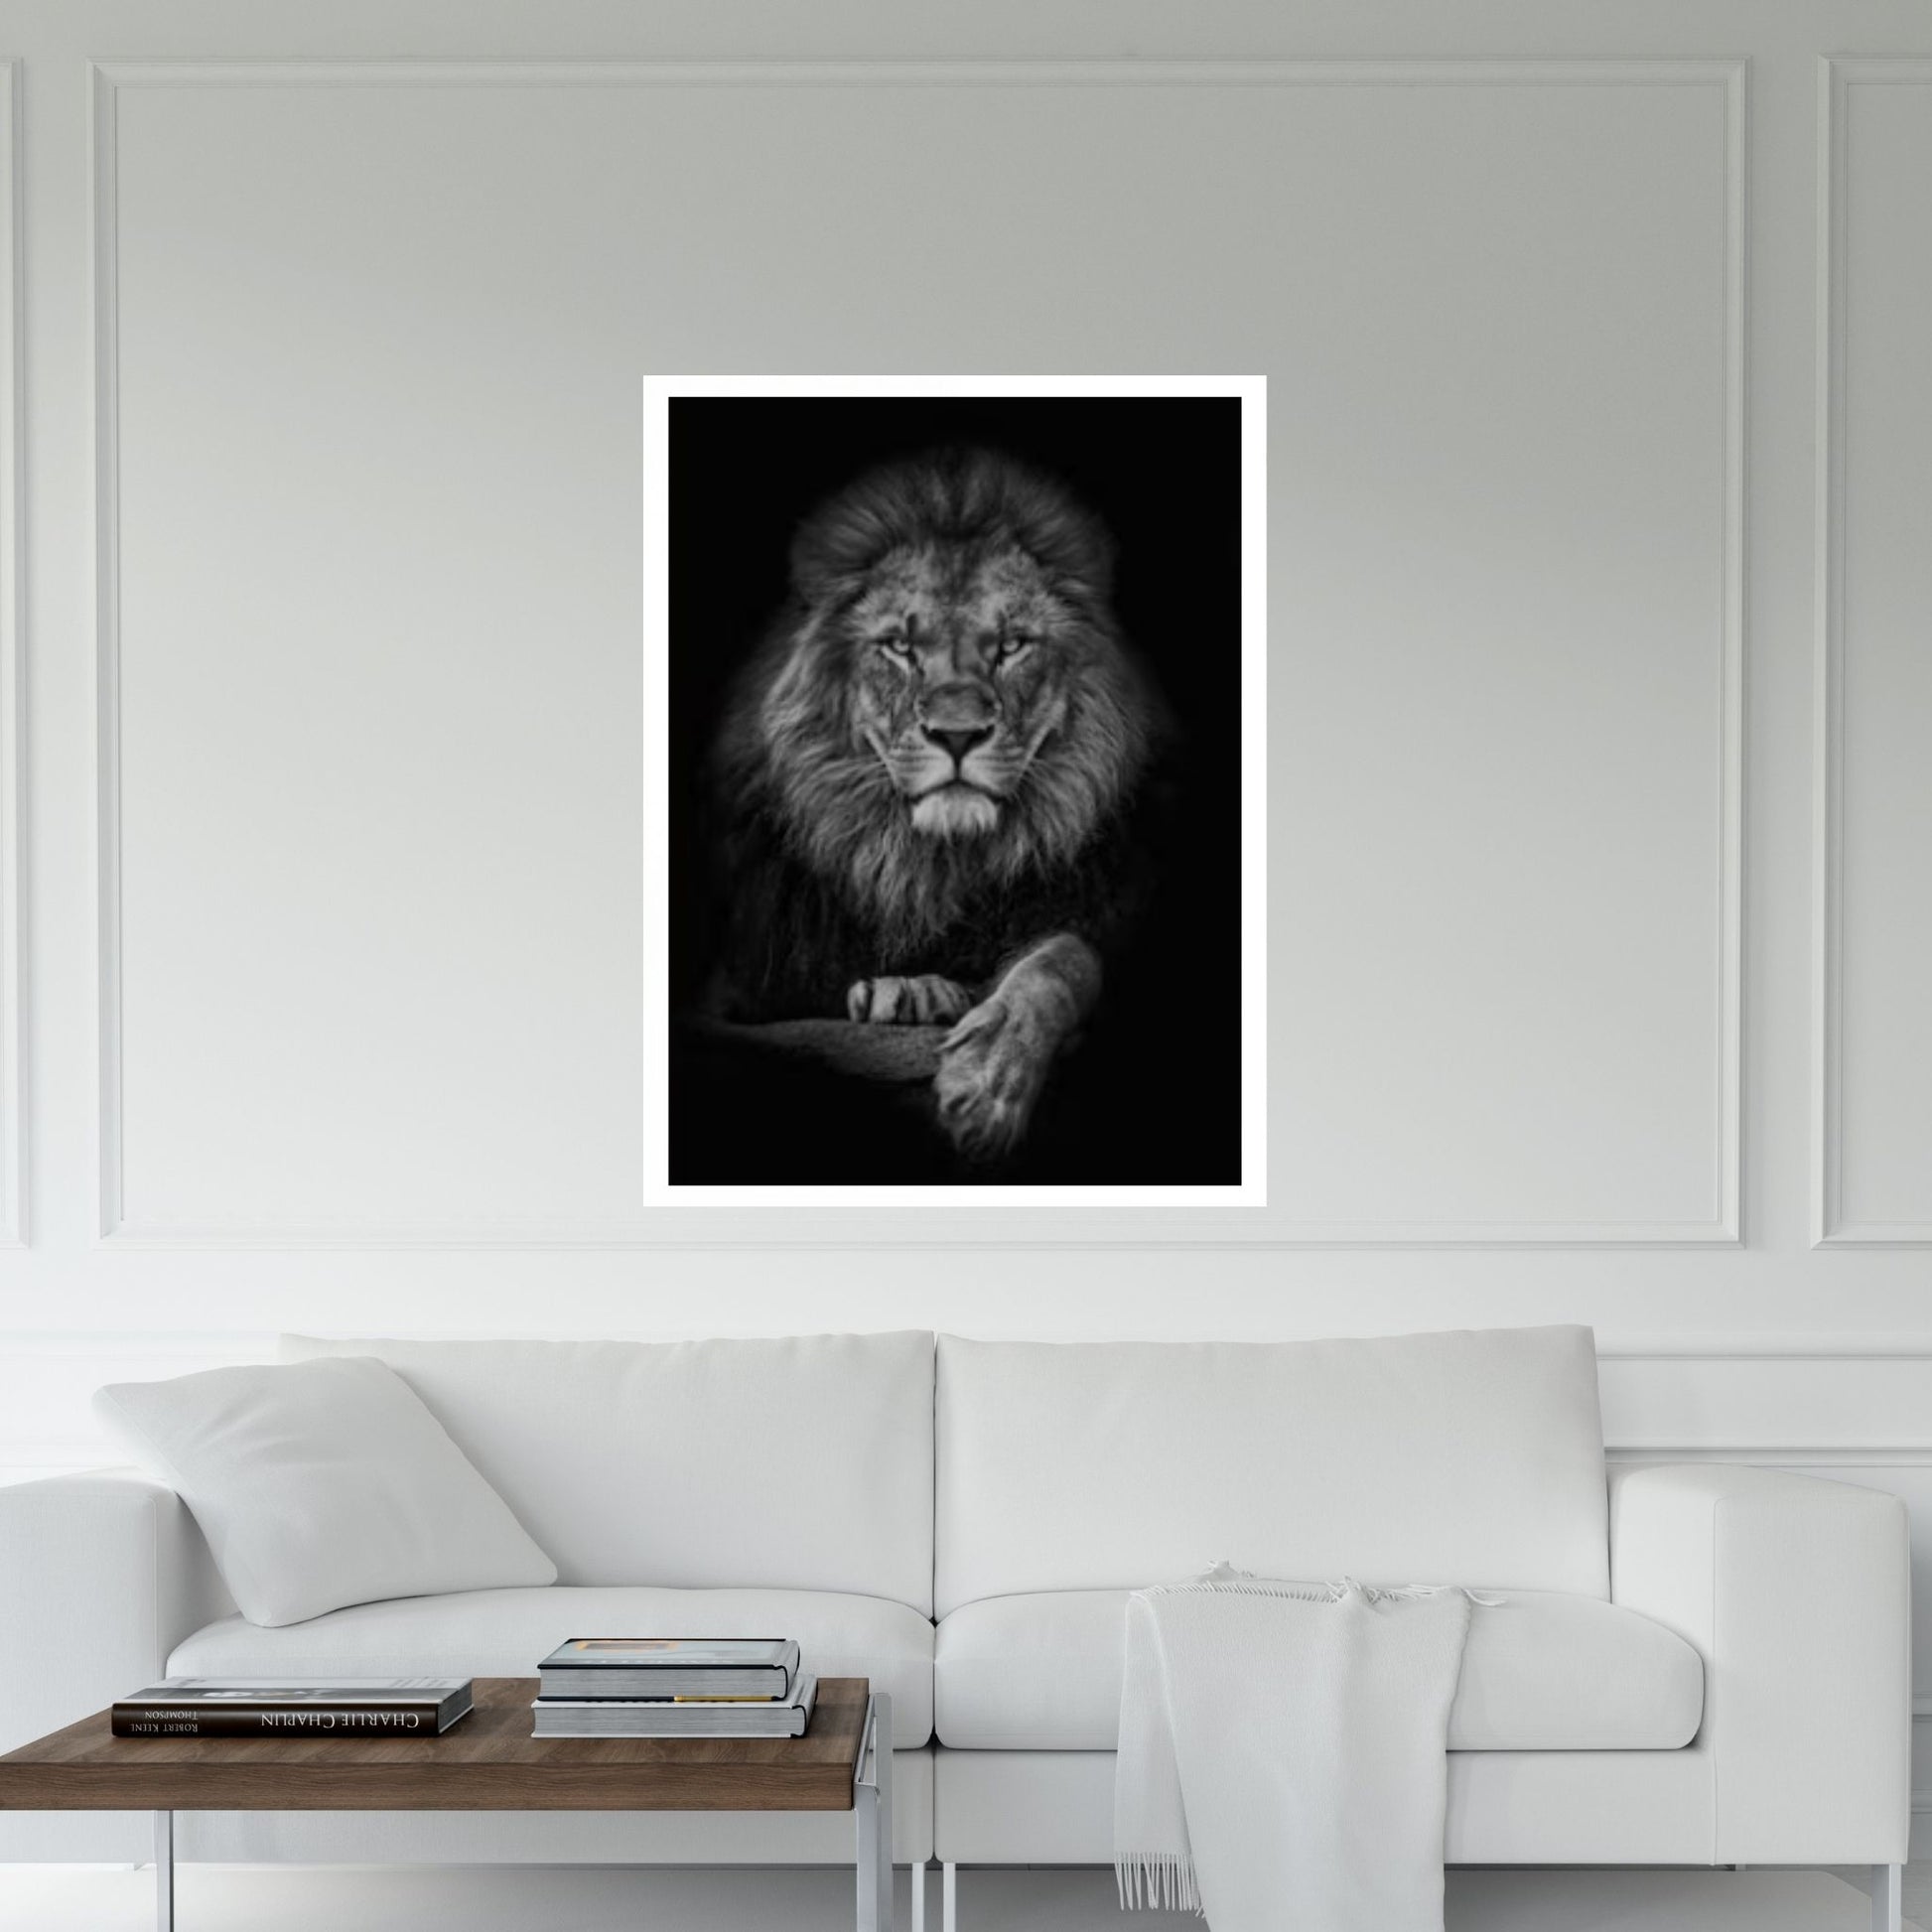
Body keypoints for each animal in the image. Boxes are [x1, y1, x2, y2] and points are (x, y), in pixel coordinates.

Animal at [701, 446, 1163, 1164]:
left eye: (1011, 645)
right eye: (899, 647)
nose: (957, 734)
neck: (933, 864)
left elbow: (1064, 958)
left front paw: (987, 1081)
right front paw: (906, 989)